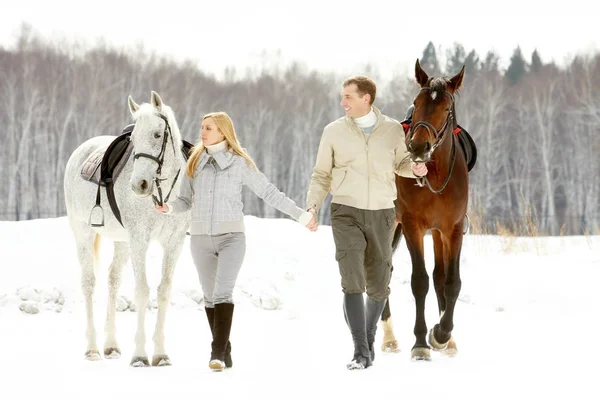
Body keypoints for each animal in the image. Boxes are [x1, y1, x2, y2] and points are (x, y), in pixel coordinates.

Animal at [63, 92, 190, 368]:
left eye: (157, 134)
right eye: (133, 139)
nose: (139, 184)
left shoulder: (174, 243)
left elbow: (164, 292)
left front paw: (161, 354)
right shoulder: (139, 239)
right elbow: (142, 291)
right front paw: (140, 355)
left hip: (122, 241)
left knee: (113, 280)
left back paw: (111, 345)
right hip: (83, 232)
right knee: (88, 283)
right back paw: (92, 348)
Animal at [380, 60, 468, 362]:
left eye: (446, 107)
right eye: (417, 102)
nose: (418, 146)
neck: (435, 177)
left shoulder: (452, 229)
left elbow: (451, 282)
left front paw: (442, 335)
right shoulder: (412, 225)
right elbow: (419, 281)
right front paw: (421, 342)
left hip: (438, 233)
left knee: (439, 275)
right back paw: (389, 338)